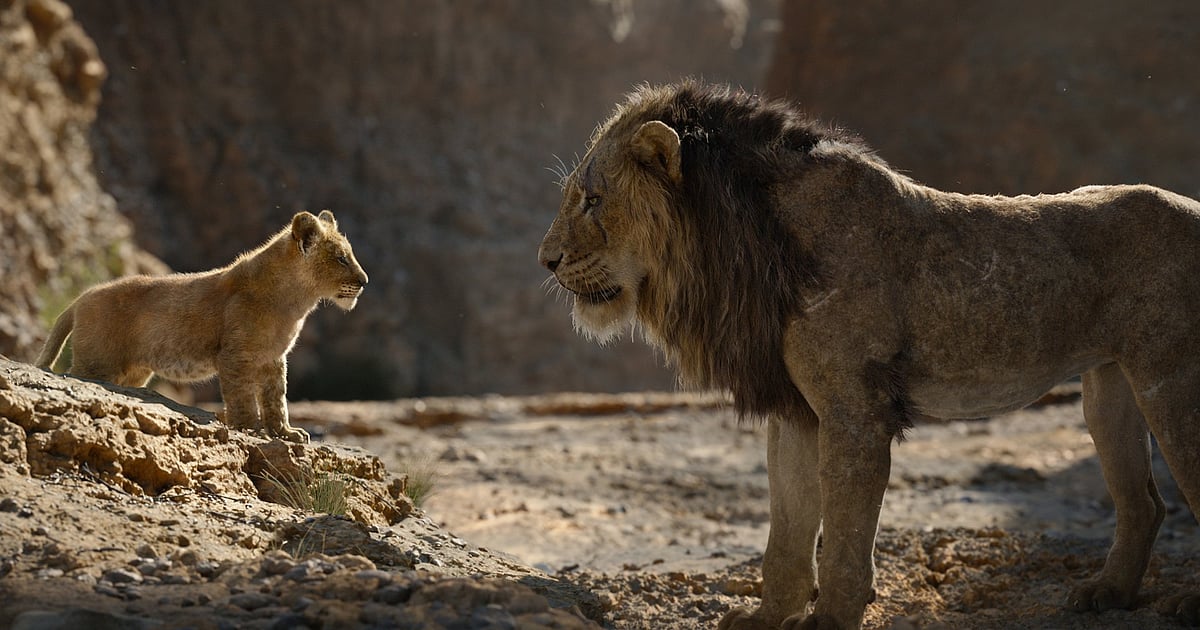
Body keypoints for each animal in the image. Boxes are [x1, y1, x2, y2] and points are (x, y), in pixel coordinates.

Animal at [36, 210, 368, 443]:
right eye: (341, 258)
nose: (365, 282)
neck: (295, 301)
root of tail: (81, 298)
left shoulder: (274, 358)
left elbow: (277, 398)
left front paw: (286, 433)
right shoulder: (235, 355)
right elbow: (242, 397)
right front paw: (250, 428)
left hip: (132, 373)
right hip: (97, 364)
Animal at [538, 80, 1200, 629]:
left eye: (592, 200)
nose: (546, 261)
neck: (740, 245)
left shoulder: (853, 410)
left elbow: (844, 532)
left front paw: (830, 619)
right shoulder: (796, 410)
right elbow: (787, 528)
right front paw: (766, 617)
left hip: (1170, 380)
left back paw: (1180, 603)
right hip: (1110, 385)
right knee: (1144, 503)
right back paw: (1107, 594)